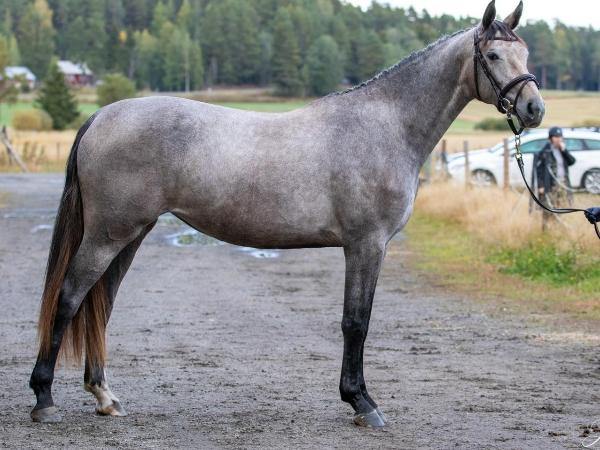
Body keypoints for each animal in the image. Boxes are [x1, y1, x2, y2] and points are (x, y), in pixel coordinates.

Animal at [29, 0, 544, 427]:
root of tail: (102, 116)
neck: (385, 126)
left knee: (99, 305)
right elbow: (356, 322)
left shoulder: (367, 246)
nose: (534, 109)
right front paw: (362, 403)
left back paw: (105, 397)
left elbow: (358, 320)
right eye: (493, 56)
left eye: (525, 53)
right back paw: (44, 399)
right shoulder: (366, 244)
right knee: (70, 298)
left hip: (129, 234)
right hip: (107, 235)